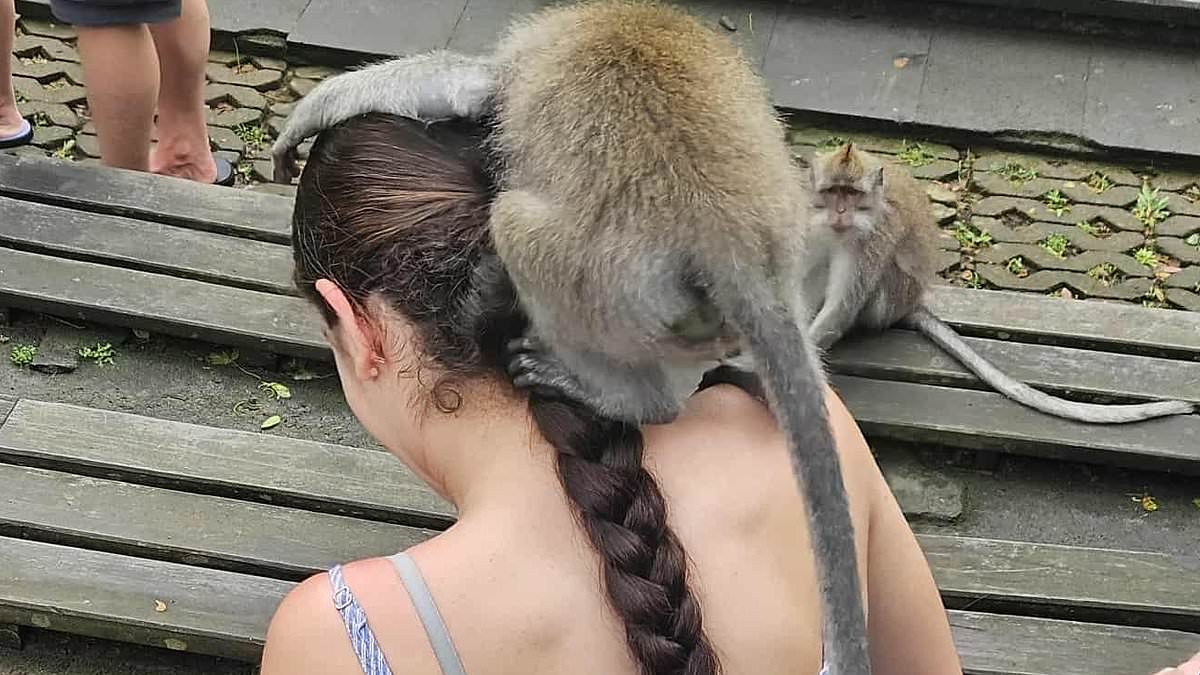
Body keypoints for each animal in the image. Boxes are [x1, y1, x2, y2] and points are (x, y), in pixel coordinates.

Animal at [807, 143, 1196, 424]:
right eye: (833, 191)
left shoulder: (871, 242)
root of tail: (912, 302)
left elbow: (842, 307)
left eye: (852, 194)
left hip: (887, 299)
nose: (839, 213)